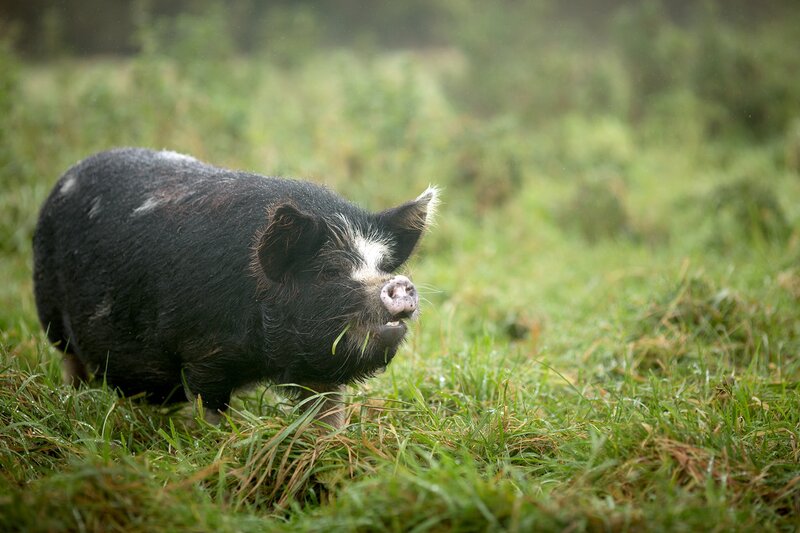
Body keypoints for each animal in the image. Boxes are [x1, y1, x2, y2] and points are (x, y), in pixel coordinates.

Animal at [33, 148, 438, 428]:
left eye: (383, 265)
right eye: (329, 271)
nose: (400, 284)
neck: (265, 358)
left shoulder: (319, 370)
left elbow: (326, 413)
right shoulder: (202, 353)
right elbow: (210, 409)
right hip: (50, 314)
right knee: (70, 359)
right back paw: (75, 400)